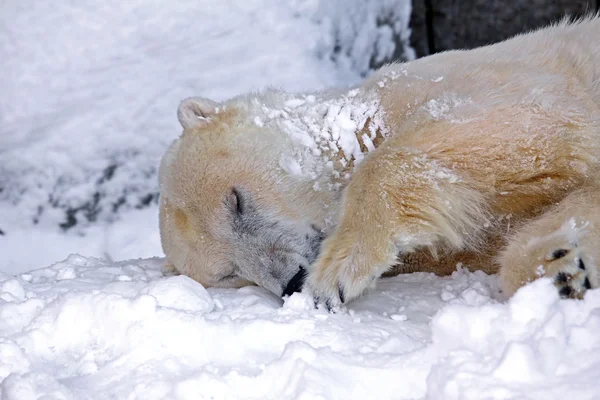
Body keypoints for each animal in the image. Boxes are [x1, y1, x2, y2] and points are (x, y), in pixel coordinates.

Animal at [158, 16, 600, 306]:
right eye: (229, 273)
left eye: (236, 201)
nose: (293, 281)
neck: (354, 129)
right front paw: (561, 269)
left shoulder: (449, 81)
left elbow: (520, 117)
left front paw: (335, 274)